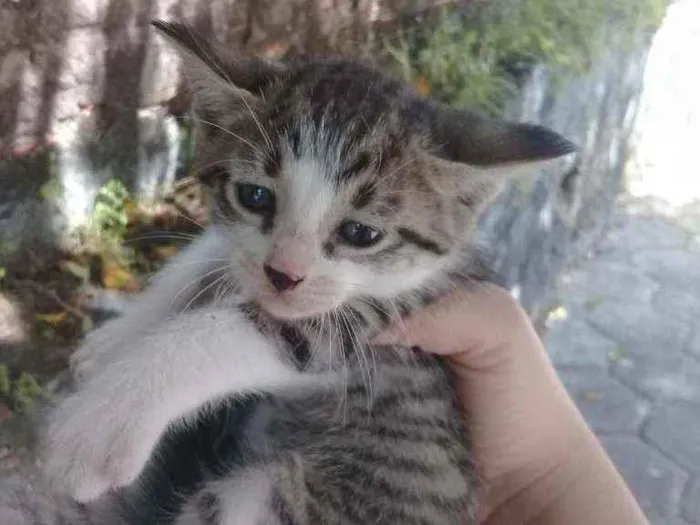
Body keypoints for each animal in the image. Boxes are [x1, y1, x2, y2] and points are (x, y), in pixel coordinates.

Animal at [0, 20, 576, 524]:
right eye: (254, 196)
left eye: (361, 233)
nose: (284, 275)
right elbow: (209, 256)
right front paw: (120, 336)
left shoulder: (387, 326)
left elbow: (239, 331)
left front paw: (95, 428)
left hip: (275, 499)